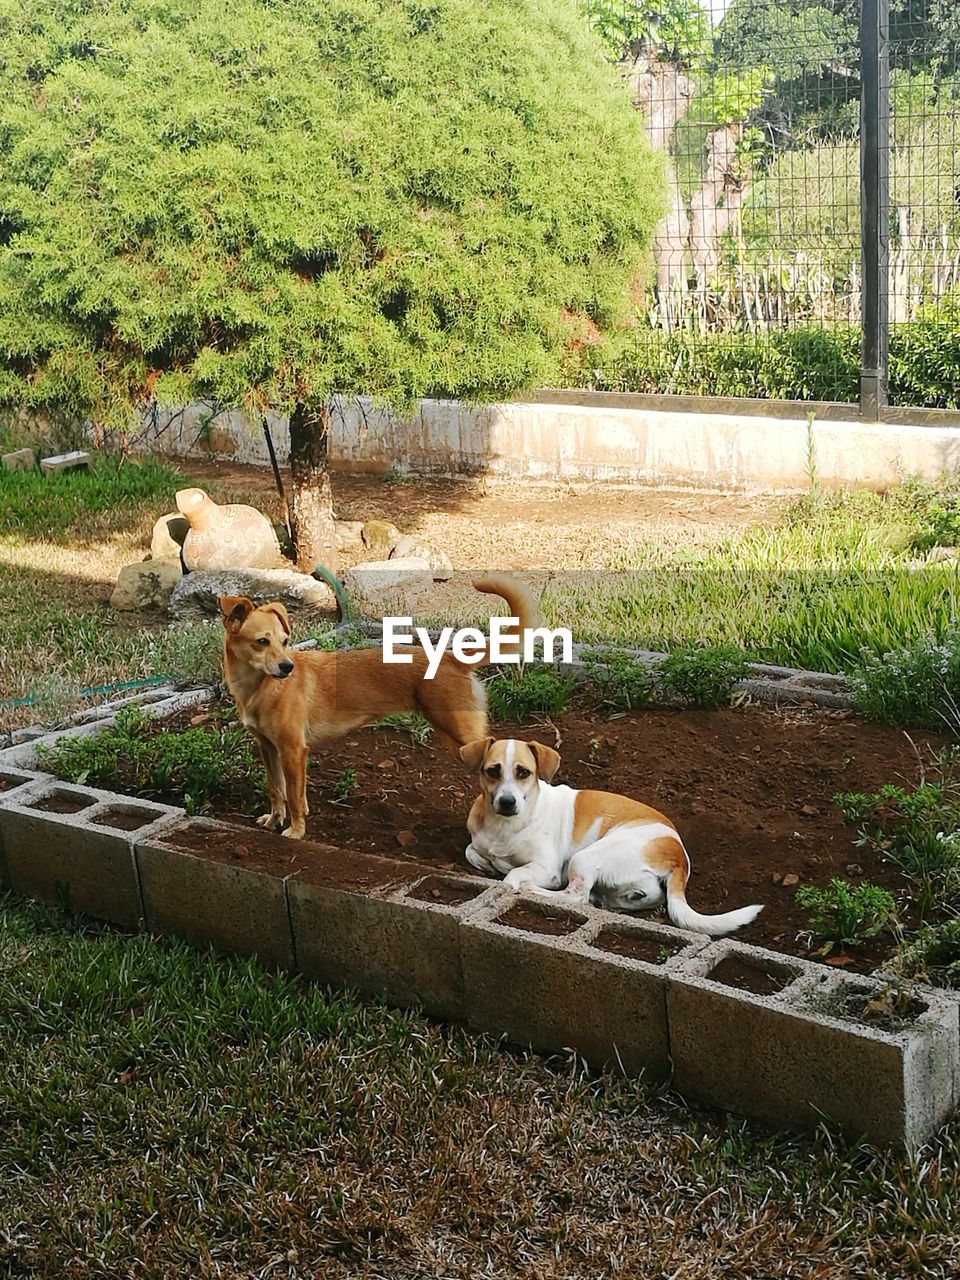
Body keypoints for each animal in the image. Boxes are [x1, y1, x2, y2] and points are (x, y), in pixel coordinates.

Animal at [221, 578, 545, 839]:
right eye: (262, 641)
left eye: (285, 641)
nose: (287, 667)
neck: (259, 688)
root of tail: (452, 658)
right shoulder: (268, 748)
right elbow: (277, 790)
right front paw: (274, 820)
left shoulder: (293, 751)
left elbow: (294, 796)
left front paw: (296, 831)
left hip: (463, 736)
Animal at [463, 737, 762, 936]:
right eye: (493, 771)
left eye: (523, 772)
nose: (507, 802)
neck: (504, 825)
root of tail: (677, 856)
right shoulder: (477, 844)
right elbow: (472, 853)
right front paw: (489, 863)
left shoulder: (548, 869)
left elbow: (512, 876)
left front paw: (509, 876)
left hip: (584, 857)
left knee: (576, 896)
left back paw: (533, 890)